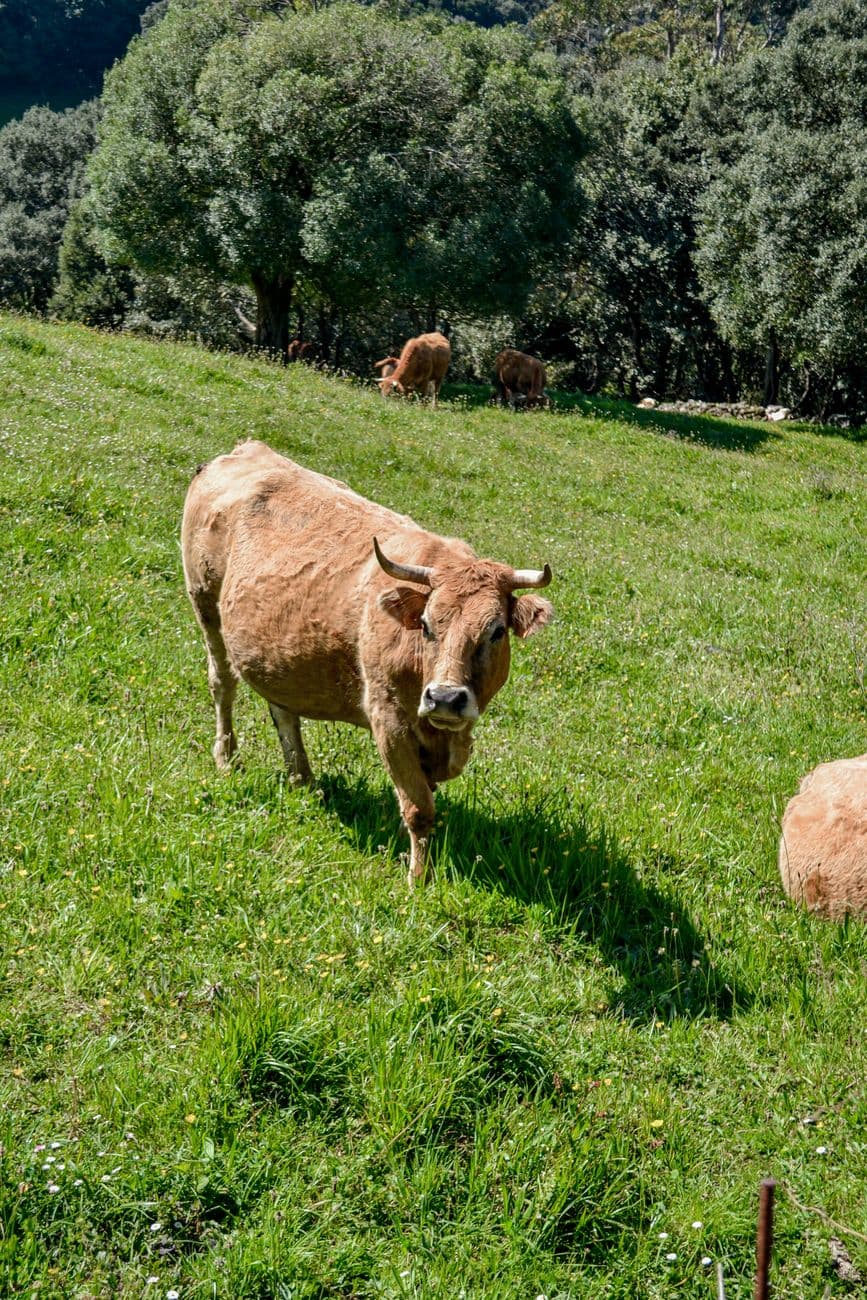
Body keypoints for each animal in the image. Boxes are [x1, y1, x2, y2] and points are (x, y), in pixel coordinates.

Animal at [181, 440, 553, 886]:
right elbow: (419, 808)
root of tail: (246, 449)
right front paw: (417, 880)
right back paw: (227, 758)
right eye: (426, 624)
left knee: (283, 711)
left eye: (496, 631)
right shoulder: (387, 718)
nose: (446, 698)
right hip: (206, 606)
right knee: (222, 684)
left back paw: (303, 779)